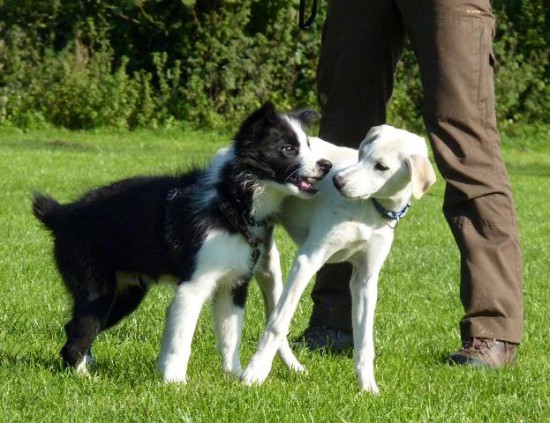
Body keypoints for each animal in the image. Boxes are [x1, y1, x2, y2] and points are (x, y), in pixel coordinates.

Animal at [33, 101, 332, 382]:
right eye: (288, 149)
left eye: (308, 144)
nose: (326, 165)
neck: (231, 200)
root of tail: (62, 214)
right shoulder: (194, 285)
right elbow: (181, 338)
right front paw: (175, 382)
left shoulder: (232, 286)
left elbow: (230, 336)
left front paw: (234, 377)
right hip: (97, 287)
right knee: (78, 335)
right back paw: (85, 377)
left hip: (125, 295)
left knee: (73, 328)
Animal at [244, 125, 438, 394]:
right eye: (362, 153)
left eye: (381, 166)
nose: (337, 181)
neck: (368, 210)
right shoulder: (307, 260)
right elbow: (277, 324)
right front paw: (255, 372)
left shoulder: (365, 280)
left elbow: (365, 340)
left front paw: (368, 387)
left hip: (268, 267)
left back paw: (295, 368)